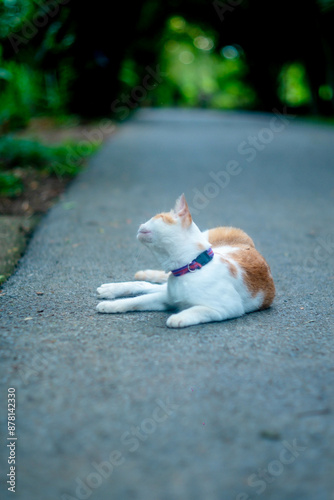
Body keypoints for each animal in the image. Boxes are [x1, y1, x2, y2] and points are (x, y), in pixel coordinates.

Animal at [96, 194, 274, 328]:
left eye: (156, 217)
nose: (141, 224)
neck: (191, 267)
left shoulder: (229, 308)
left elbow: (199, 310)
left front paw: (178, 317)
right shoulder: (166, 299)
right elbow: (136, 301)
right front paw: (112, 305)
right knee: (146, 285)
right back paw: (112, 289)